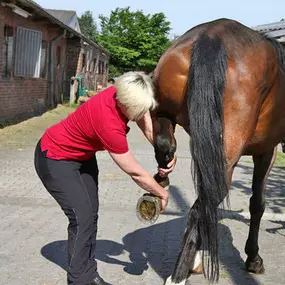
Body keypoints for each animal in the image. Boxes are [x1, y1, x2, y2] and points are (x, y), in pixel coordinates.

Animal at [151, 18, 284, 284]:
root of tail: (211, 35)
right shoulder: (268, 151)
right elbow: (258, 204)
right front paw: (253, 259)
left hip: (167, 119)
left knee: (166, 149)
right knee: (200, 208)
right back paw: (177, 276)